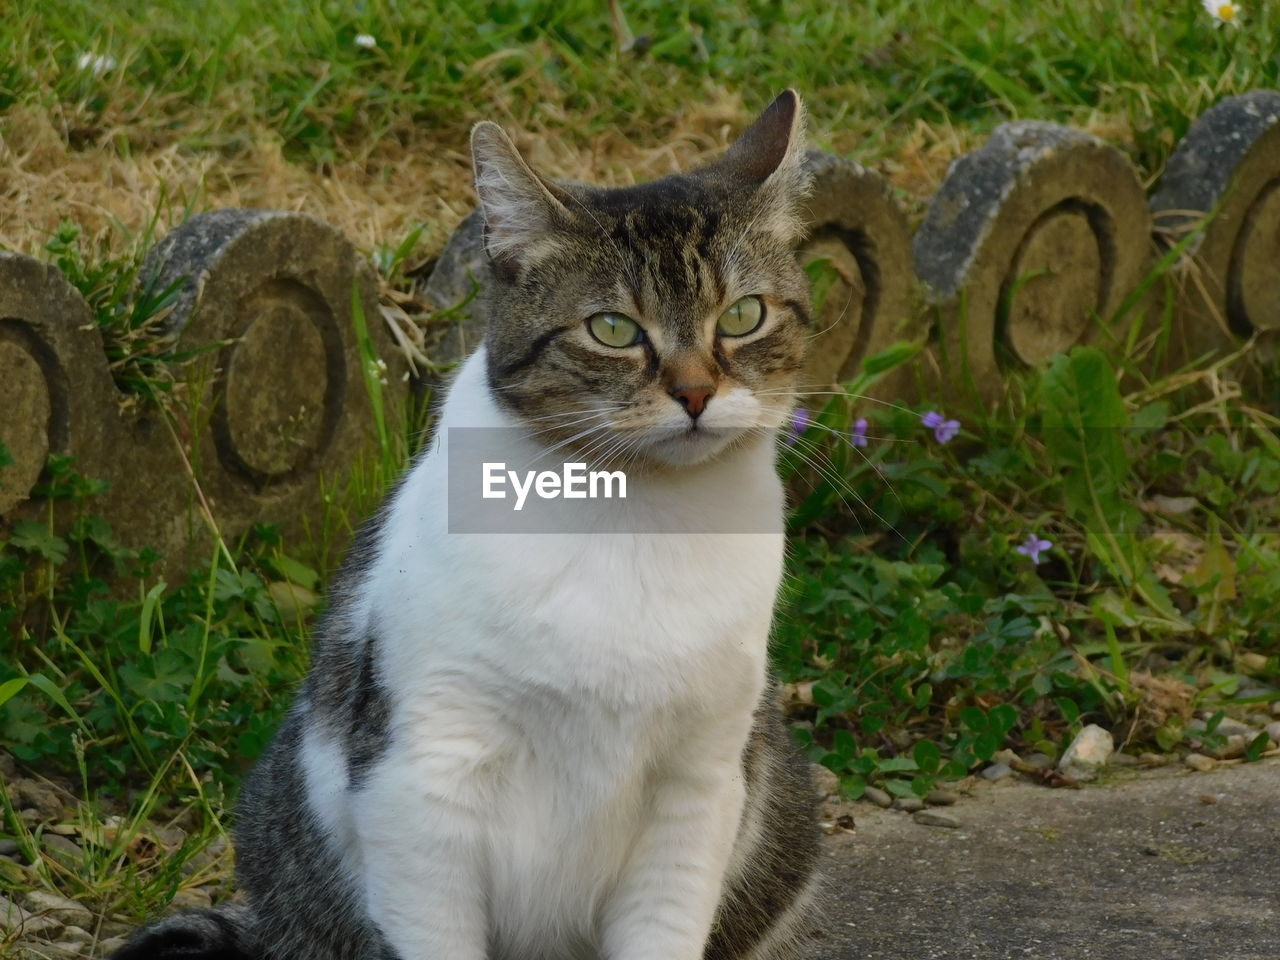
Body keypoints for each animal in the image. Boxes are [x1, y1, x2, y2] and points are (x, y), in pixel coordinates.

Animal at [117, 90, 819, 960]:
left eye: (745, 316)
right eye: (612, 329)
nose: (695, 393)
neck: (635, 511)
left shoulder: (701, 780)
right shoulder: (424, 772)